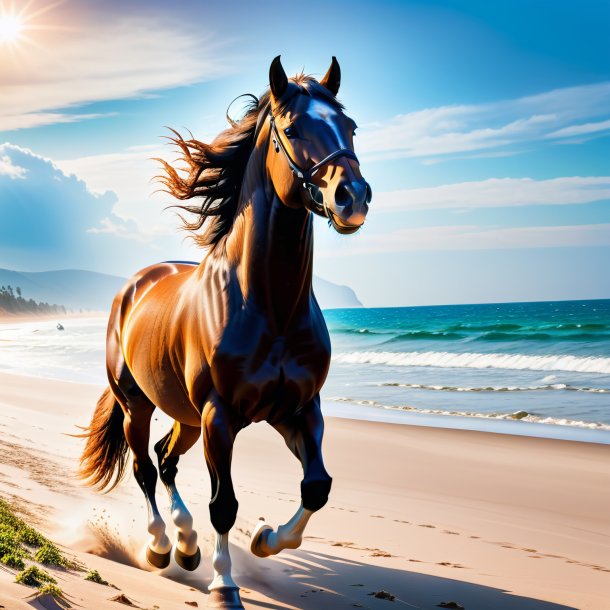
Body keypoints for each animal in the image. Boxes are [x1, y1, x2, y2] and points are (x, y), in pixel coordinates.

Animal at [78, 57, 368, 608]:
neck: (271, 308)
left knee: (166, 461)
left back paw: (187, 545)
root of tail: (134, 285)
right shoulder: (221, 416)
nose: (352, 197)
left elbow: (316, 486)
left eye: (352, 126)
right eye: (292, 129)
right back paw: (161, 548)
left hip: (185, 416)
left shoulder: (298, 410)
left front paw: (266, 539)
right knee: (145, 468)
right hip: (138, 404)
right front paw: (223, 585)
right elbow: (223, 504)